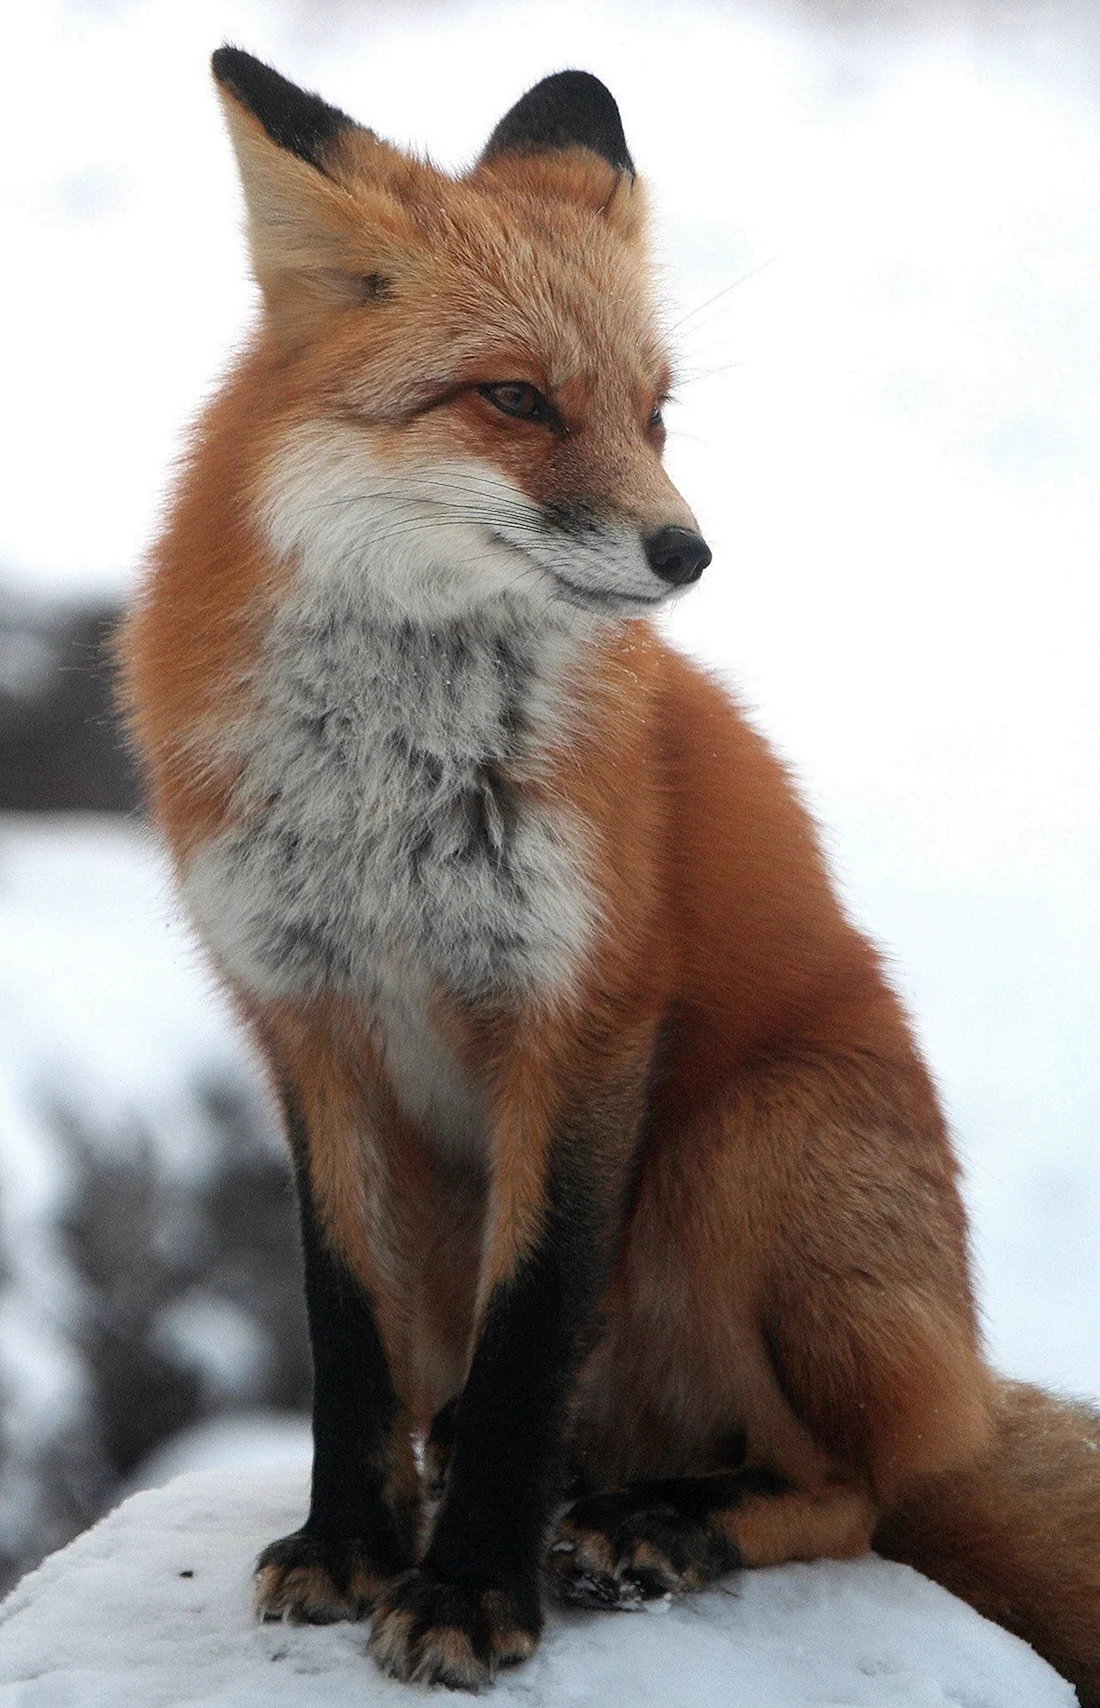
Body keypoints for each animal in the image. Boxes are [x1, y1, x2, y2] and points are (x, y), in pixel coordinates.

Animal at [121, 45, 1100, 1698]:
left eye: (655, 415)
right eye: (516, 399)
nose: (687, 552)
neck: (391, 794)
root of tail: (963, 1381)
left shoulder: (580, 1018)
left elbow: (530, 1340)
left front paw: (468, 1594)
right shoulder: (310, 1026)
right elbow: (346, 1332)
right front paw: (351, 1545)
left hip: (745, 1146)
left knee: (855, 1490)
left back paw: (659, 1521)